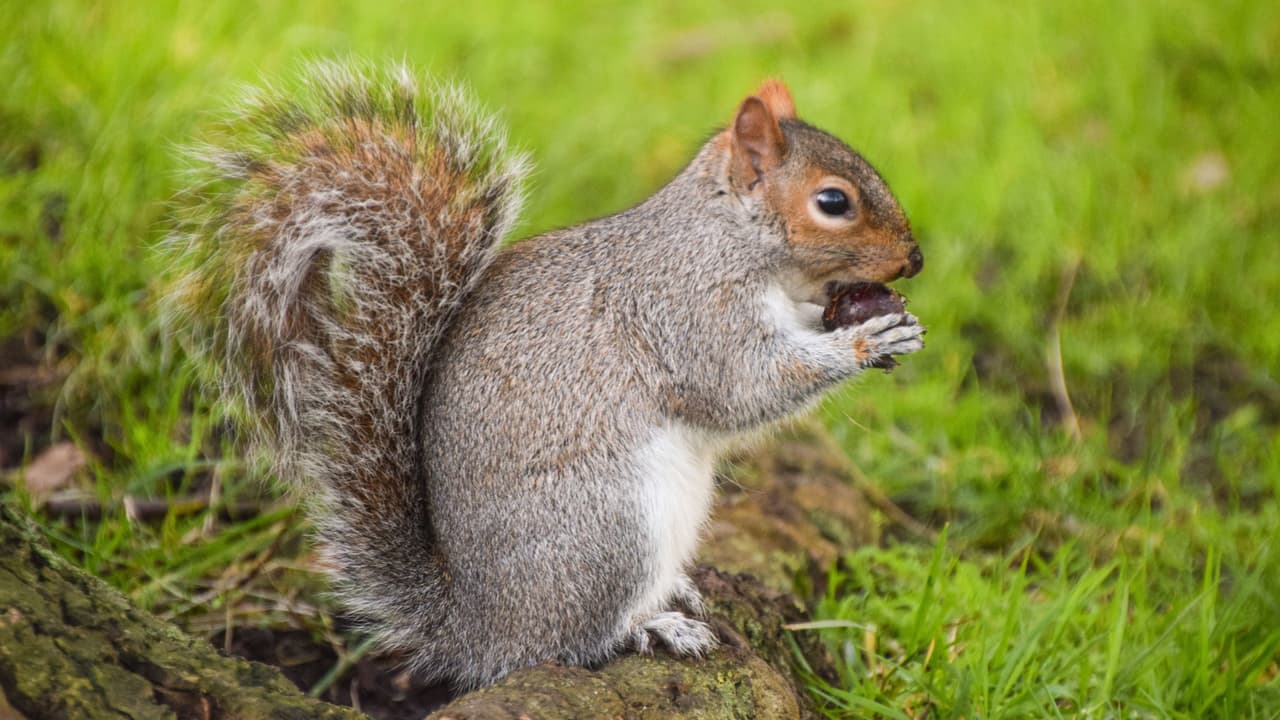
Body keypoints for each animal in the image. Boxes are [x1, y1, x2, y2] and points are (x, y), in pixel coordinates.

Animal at [166, 60, 924, 690]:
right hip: (609, 527)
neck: (726, 237)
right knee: (568, 644)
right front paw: (864, 340)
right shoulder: (687, 309)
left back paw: (672, 593)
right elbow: (742, 389)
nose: (915, 259)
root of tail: (476, 628)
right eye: (833, 202)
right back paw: (651, 625)